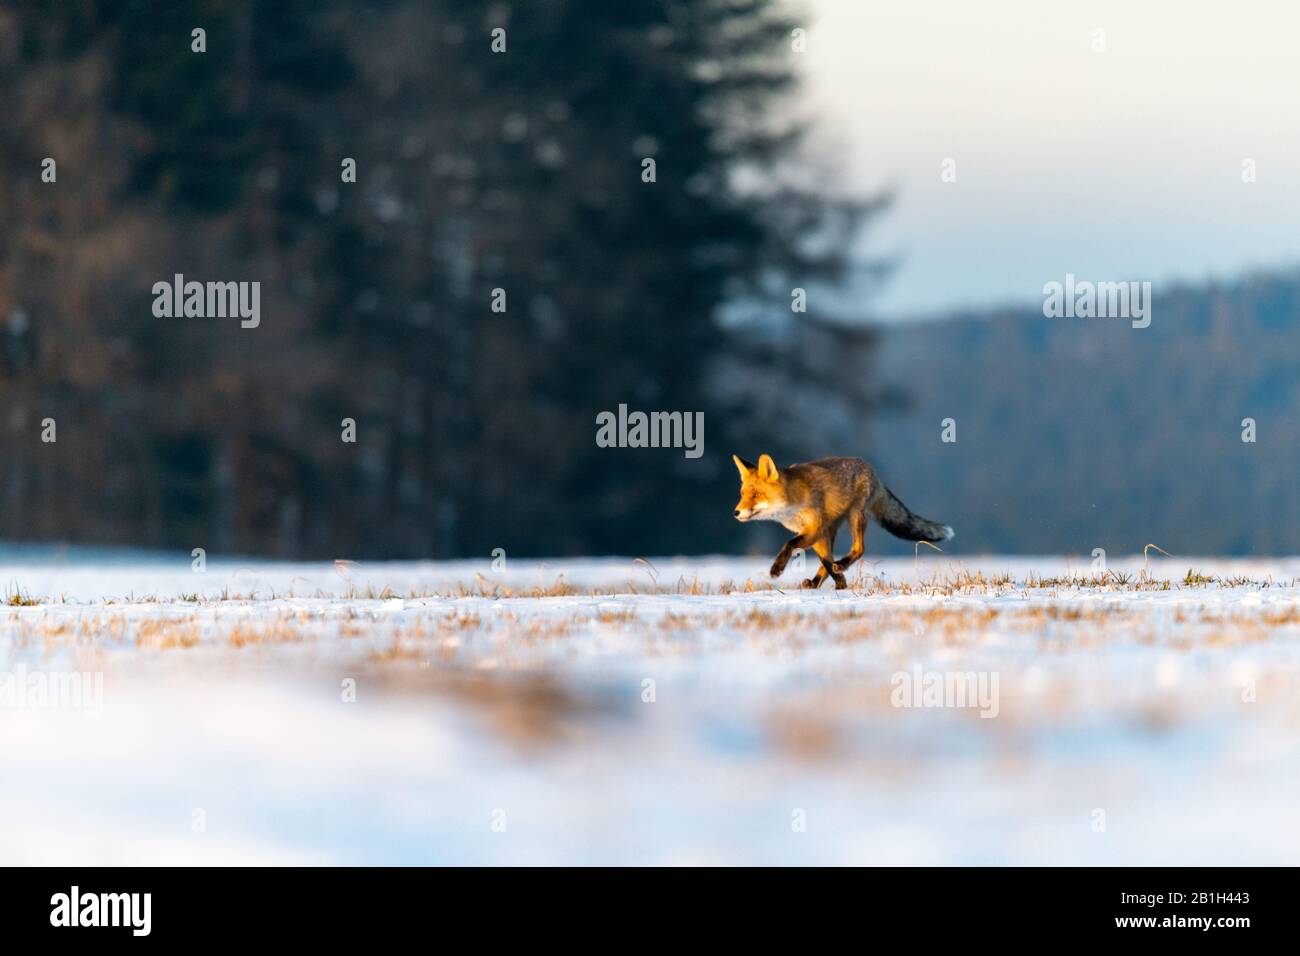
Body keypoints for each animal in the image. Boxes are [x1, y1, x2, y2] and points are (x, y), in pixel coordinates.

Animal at [733, 455, 956, 590]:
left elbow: (790, 544)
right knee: (829, 559)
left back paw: (841, 566)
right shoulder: (815, 532)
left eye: (756, 495)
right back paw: (817, 581)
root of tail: (870, 468)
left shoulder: (815, 528)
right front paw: (840, 585)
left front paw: (777, 568)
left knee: (859, 549)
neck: (793, 503)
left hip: (855, 516)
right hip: (832, 529)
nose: (736, 512)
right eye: (743, 494)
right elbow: (825, 561)